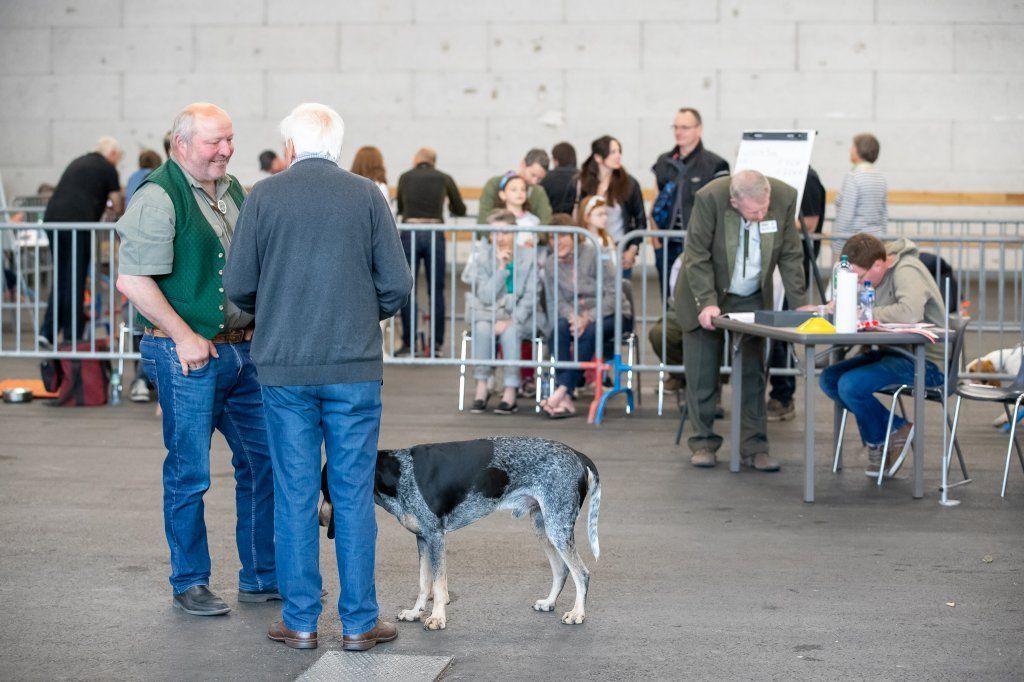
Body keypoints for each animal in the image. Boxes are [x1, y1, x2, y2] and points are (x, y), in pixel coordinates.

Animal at [319, 436, 598, 626]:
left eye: (324, 489)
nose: (321, 520)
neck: (398, 473)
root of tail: (578, 455)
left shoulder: (435, 538)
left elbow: (438, 585)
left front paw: (437, 617)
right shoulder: (422, 539)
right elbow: (424, 584)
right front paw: (415, 612)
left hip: (557, 528)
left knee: (582, 573)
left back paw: (578, 613)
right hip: (544, 527)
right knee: (562, 570)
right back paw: (550, 603)